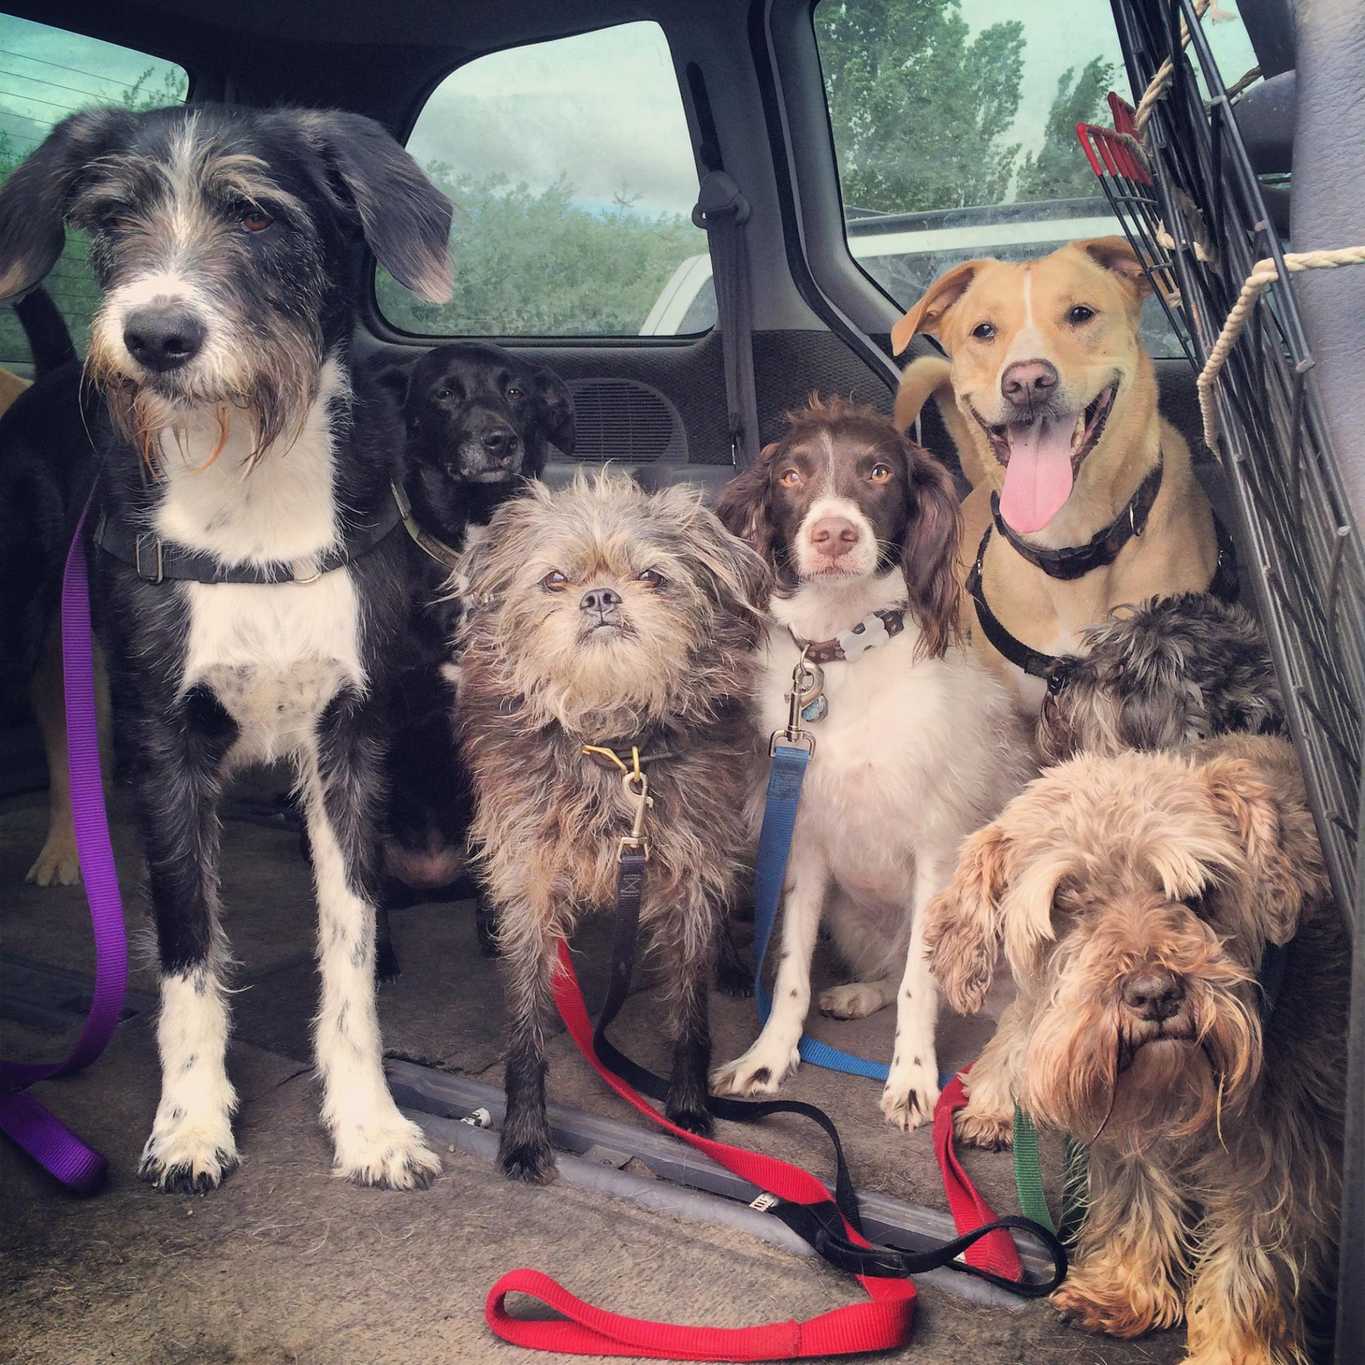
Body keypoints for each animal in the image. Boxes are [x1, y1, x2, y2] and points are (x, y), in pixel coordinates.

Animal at [0, 106, 458, 1190]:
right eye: (111, 217)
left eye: (256, 216)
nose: (155, 336)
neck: (249, 492)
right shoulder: (167, 750)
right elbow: (187, 954)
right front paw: (192, 1120)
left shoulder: (351, 746)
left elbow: (350, 957)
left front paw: (369, 1122)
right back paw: (60, 851)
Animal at [922, 742, 1348, 1359]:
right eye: (1065, 899)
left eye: (1199, 891)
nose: (1155, 994)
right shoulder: (1122, 1118)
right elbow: (1137, 1195)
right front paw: (1124, 1288)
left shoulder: (1281, 1156)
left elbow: (1251, 1261)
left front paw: (1233, 1351)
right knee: (1015, 1033)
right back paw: (992, 1108)